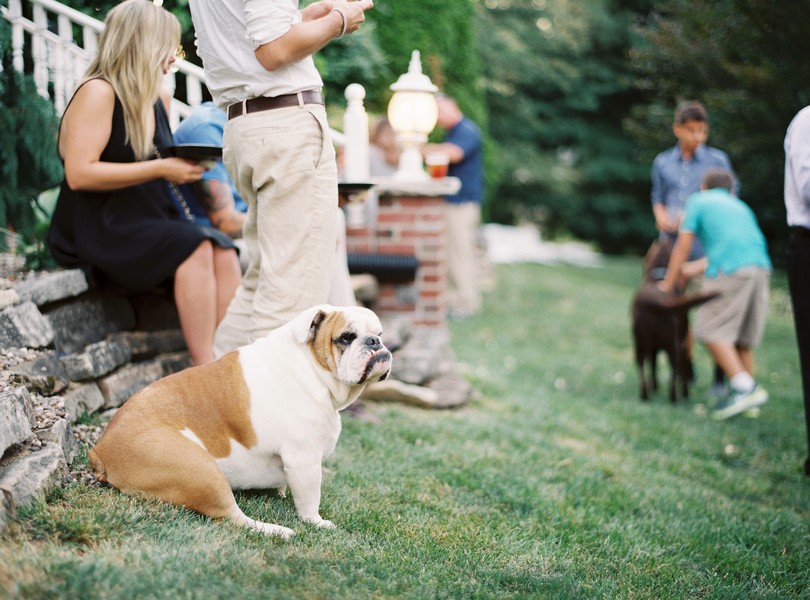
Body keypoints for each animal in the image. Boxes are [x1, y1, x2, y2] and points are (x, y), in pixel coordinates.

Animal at [628, 239, 716, 404]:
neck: (659, 279)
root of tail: (655, 301)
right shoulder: (683, 344)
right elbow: (681, 373)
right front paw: (684, 394)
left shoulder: (653, 348)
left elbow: (653, 367)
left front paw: (655, 387)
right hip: (674, 346)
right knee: (675, 372)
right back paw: (674, 398)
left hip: (640, 345)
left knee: (642, 368)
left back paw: (645, 395)